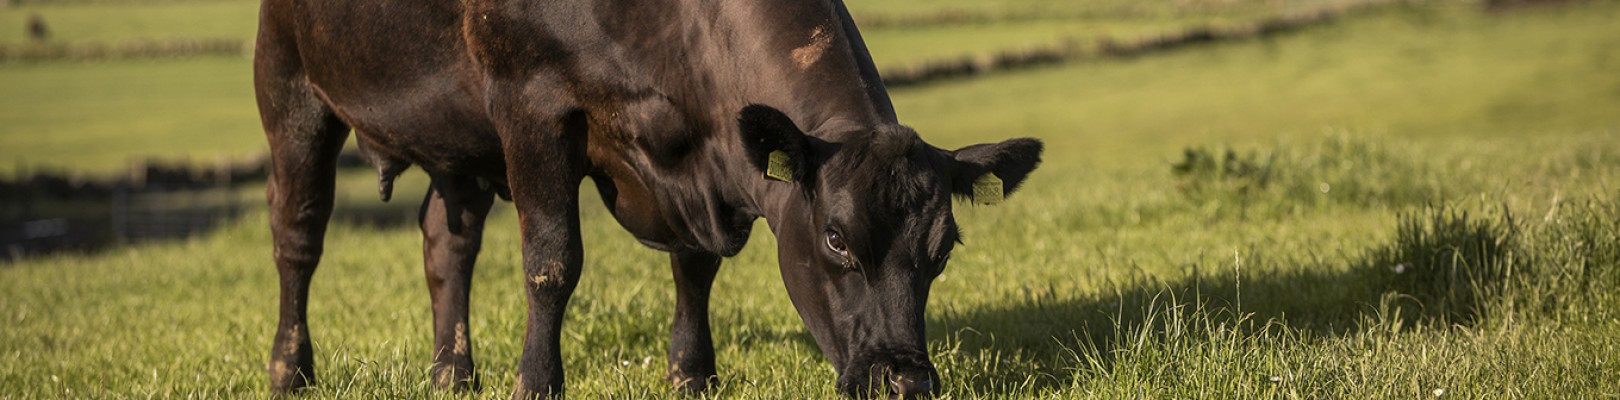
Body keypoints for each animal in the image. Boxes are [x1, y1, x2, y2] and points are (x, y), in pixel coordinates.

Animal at [251, 0, 1036, 396]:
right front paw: (537, 383)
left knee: (448, 241)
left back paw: (452, 373)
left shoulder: (699, 166)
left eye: (942, 251)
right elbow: (552, 263)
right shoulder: (530, 105)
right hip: (289, 84)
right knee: (297, 237)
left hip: (457, 139)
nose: (906, 382)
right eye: (836, 238)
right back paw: (290, 370)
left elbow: (695, 268)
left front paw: (692, 374)